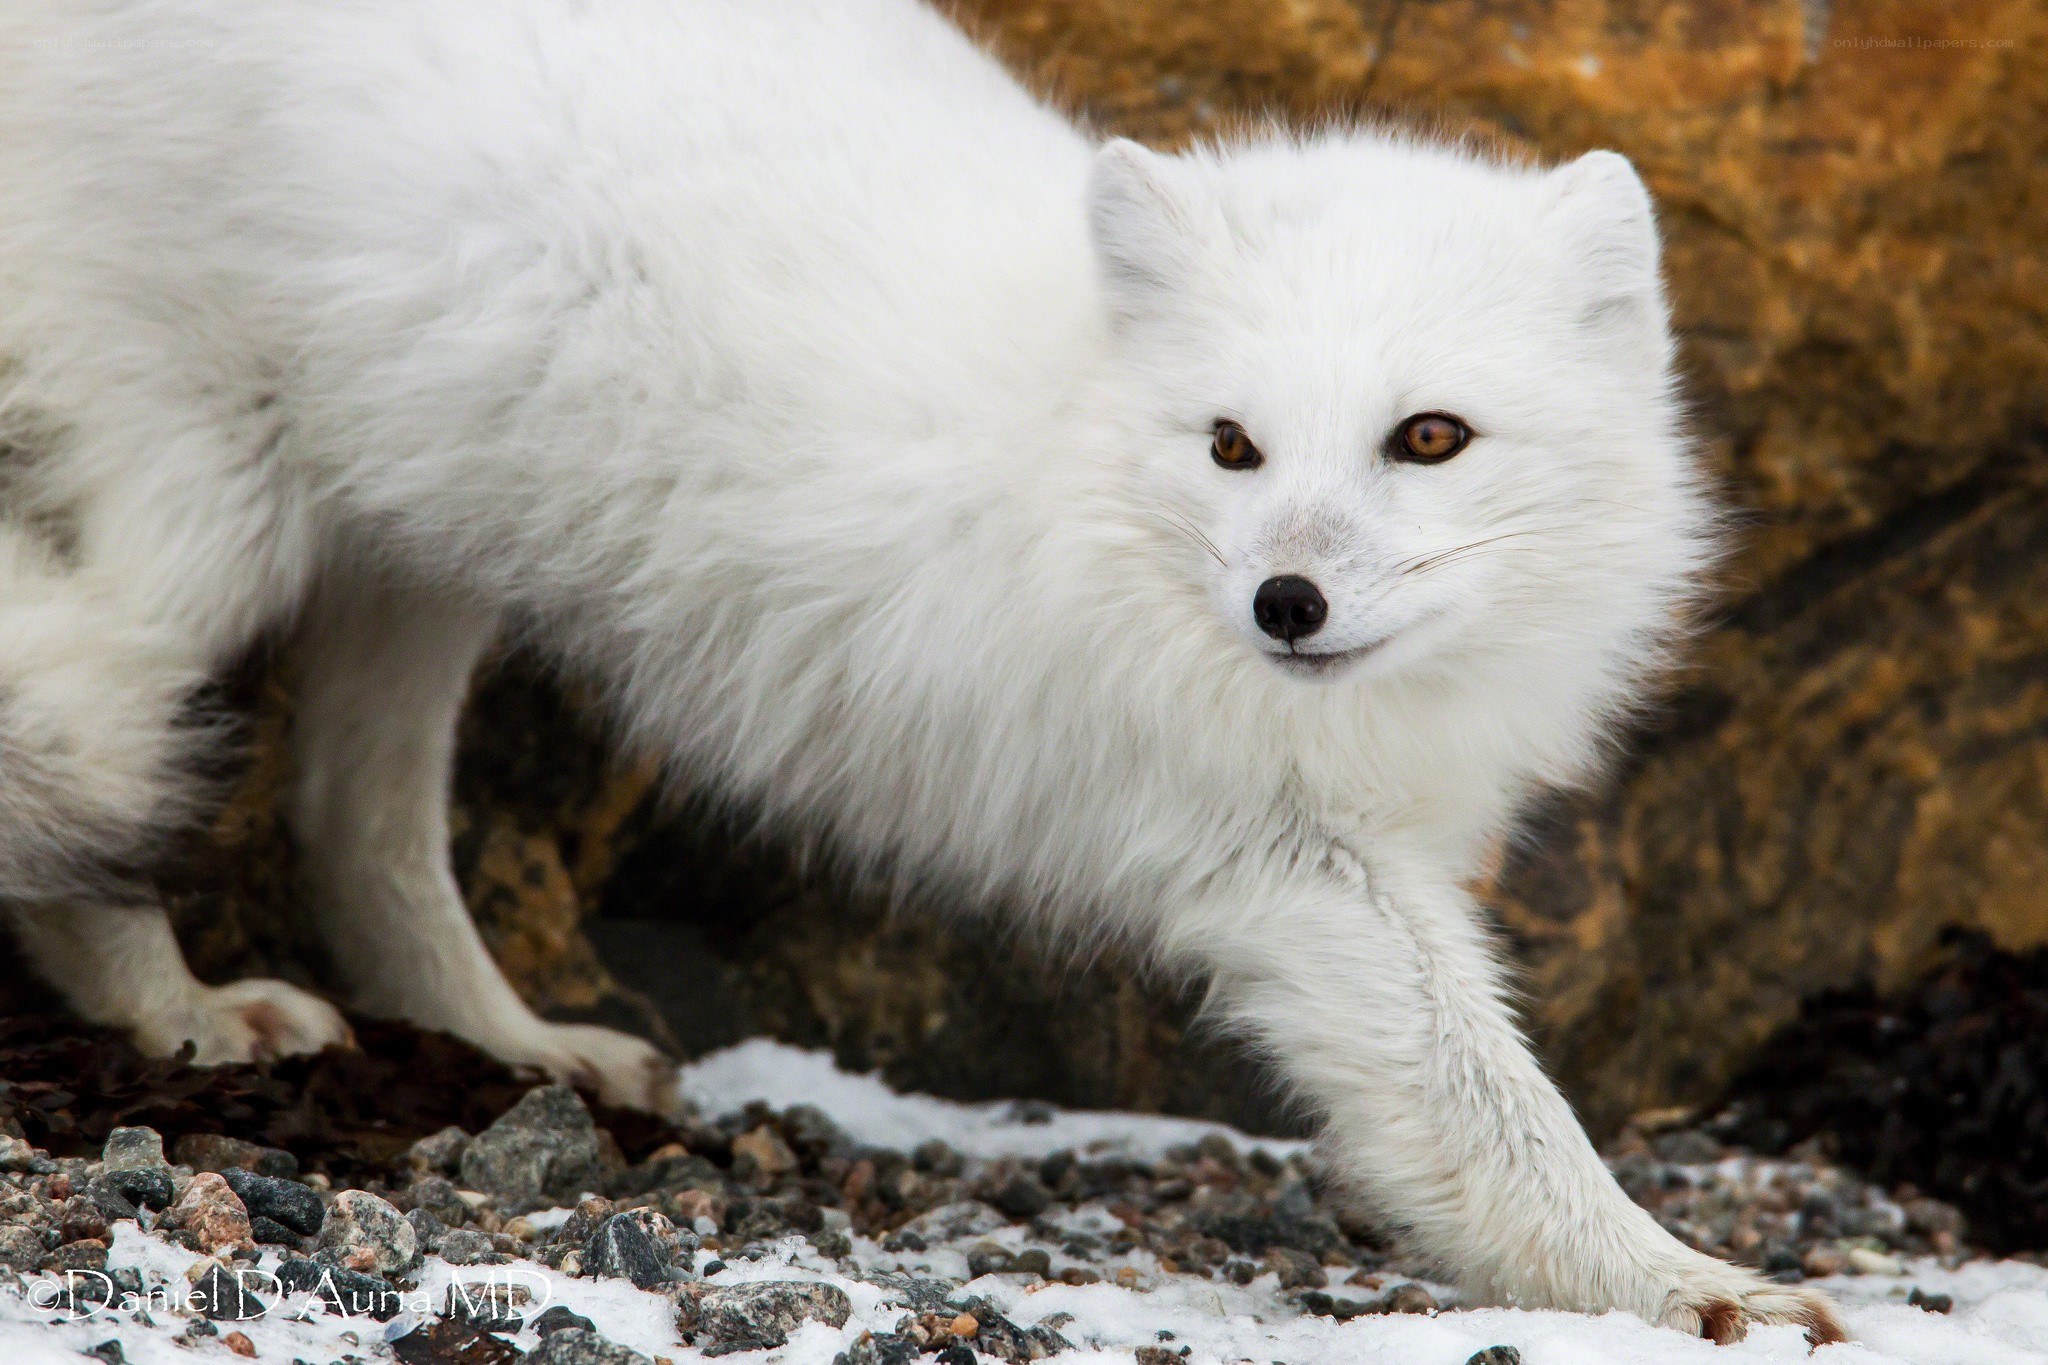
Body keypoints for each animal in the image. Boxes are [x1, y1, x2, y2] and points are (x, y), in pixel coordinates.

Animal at [0, 0, 1842, 1341]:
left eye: (1430, 438)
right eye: (1232, 446)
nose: (1286, 605)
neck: (1086, 451)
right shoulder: (1284, 858)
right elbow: (1489, 1107)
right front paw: (1683, 1286)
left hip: (424, 561)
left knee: (352, 816)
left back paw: (504, 1041)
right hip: (215, 523)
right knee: (105, 747)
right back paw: (178, 1011)